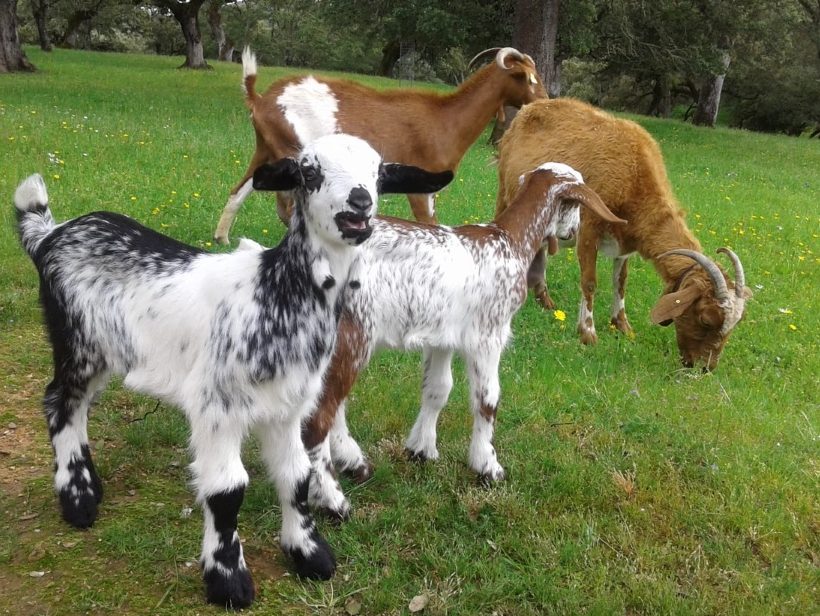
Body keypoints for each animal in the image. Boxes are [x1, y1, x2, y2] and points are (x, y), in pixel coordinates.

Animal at [14, 134, 452, 609]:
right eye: (308, 172)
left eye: (379, 174)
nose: (360, 204)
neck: (274, 290)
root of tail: (50, 235)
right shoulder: (216, 406)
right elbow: (227, 490)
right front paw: (228, 581)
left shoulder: (288, 406)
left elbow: (296, 475)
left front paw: (310, 554)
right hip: (75, 340)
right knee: (60, 402)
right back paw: (78, 502)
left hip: (104, 352)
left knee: (78, 407)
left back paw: (89, 486)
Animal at [213, 46, 546, 244]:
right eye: (529, 79)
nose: (544, 99)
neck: (446, 119)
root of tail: (260, 99)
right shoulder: (420, 185)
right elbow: (427, 223)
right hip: (289, 152)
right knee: (287, 207)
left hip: (266, 150)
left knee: (239, 191)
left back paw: (221, 239)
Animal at [291, 163, 625, 520]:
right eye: (576, 203)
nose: (572, 232)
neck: (510, 241)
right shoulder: (488, 335)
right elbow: (488, 400)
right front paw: (487, 467)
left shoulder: (442, 338)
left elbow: (437, 390)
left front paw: (421, 449)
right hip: (351, 334)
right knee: (318, 418)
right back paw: (332, 500)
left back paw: (353, 464)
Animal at [495, 98, 751, 371]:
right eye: (705, 319)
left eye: (735, 324)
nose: (705, 368)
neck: (634, 174)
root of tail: (529, 108)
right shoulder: (588, 228)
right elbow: (590, 282)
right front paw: (588, 334)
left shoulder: (626, 242)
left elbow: (621, 282)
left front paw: (623, 327)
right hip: (505, 194)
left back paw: (545, 300)